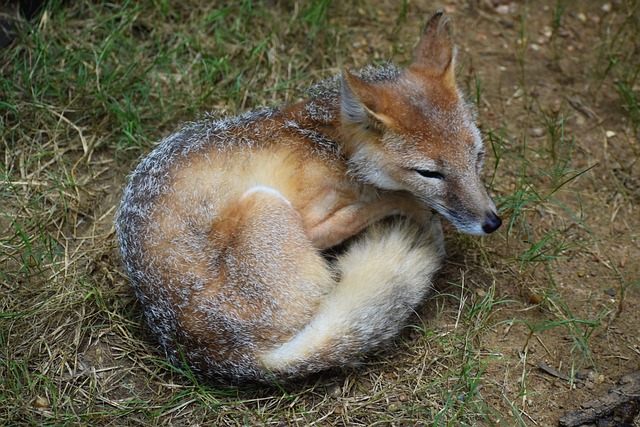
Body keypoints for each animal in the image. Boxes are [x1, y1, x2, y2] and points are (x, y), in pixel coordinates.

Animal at [117, 11, 502, 382]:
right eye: (430, 174)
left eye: (477, 156)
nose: (492, 222)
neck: (334, 145)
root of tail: (216, 355)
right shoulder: (311, 223)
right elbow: (379, 203)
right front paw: (416, 208)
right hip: (266, 203)